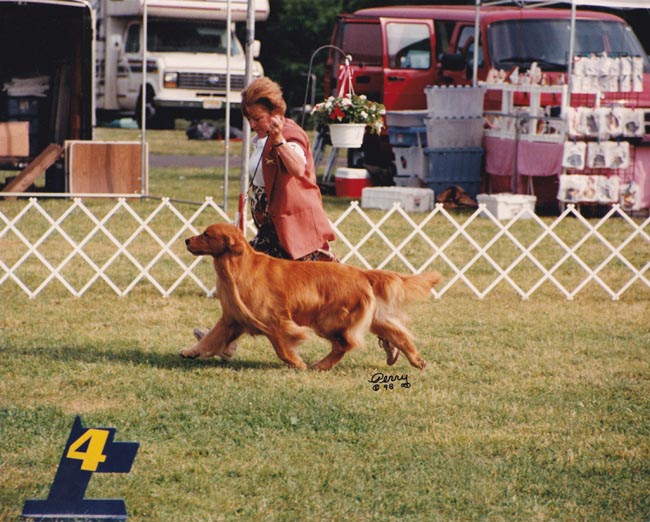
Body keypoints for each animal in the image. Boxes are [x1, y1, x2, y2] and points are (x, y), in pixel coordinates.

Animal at [180, 223, 441, 371]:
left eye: (207, 234)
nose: (186, 240)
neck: (240, 267)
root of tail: (361, 272)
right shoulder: (231, 319)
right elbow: (211, 337)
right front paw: (190, 351)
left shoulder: (274, 319)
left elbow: (282, 346)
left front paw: (297, 363)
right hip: (369, 318)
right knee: (397, 334)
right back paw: (417, 360)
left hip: (328, 320)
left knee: (345, 344)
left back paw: (320, 365)